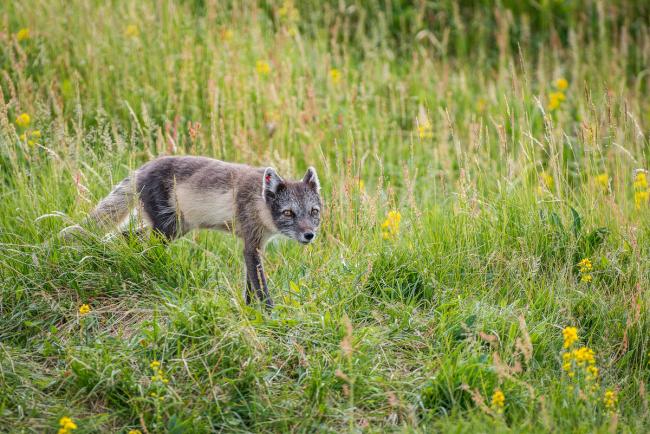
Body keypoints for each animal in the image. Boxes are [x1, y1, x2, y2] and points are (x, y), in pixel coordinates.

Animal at [62, 156, 320, 308]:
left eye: (313, 211)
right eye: (288, 213)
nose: (309, 235)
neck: (259, 201)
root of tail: (141, 169)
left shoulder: (254, 244)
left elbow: (250, 284)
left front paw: (249, 309)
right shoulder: (250, 245)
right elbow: (261, 287)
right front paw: (269, 313)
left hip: (175, 228)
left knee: (126, 236)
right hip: (166, 230)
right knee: (142, 246)